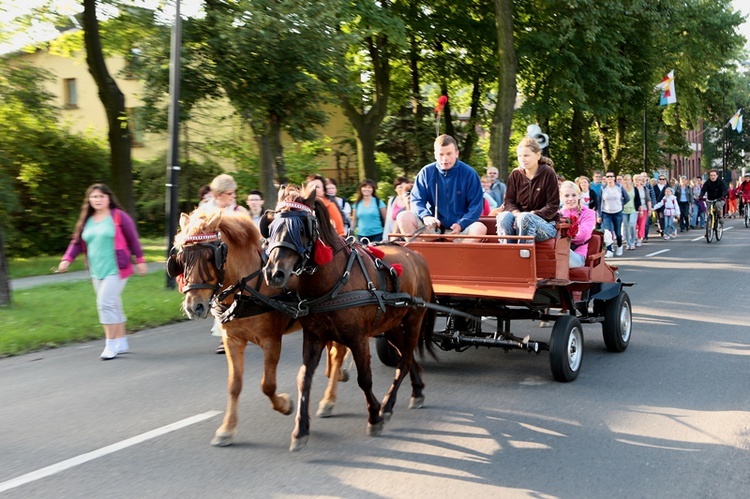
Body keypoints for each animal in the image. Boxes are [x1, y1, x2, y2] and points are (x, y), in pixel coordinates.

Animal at [167, 209, 350, 448]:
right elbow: (234, 385)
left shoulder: (271, 340)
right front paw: (226, 429)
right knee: (333, 352)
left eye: (209, 257)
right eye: (182, 259)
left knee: (338, 353)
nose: (193, 307)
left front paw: (285, 405)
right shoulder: (232, 340)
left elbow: (267, 385)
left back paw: (329, 399)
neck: (247, 289)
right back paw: (338, 376)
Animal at [262, 188, 438, 454]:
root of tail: (415, 254)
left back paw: (388, 405)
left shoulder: (357, 339)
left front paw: (374, 415)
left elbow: (364, 379)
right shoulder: (313, 338)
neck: (333, 280)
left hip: (414, 319)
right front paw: (301, 430)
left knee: (405, 360)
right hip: (391, 326)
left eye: (301, 229)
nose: (274, 273)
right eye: (271, 228)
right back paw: (416, 390)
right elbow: (304, 379)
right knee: (406, 357)